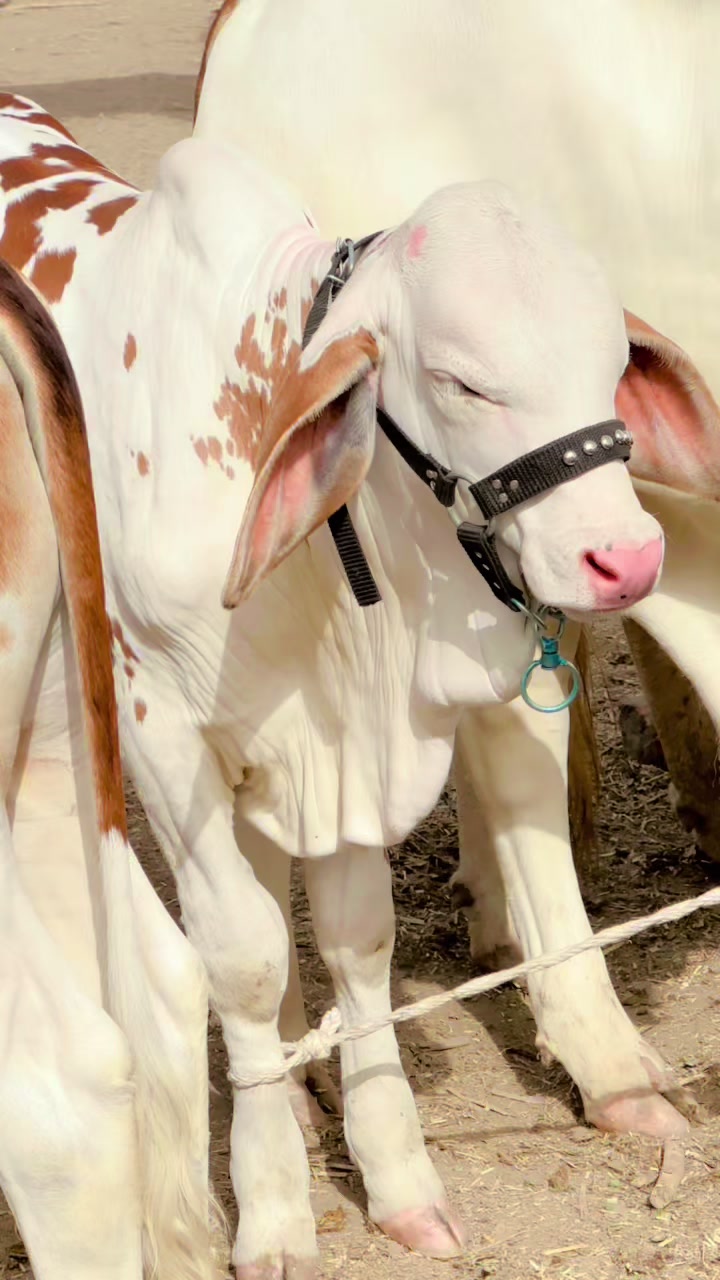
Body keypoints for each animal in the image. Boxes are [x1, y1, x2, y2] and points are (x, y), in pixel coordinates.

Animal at [0, 89, 692, 1274]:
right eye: (462, 380)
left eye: (612, 362)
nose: (625, 557)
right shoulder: (158, 731)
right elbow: (239, 957)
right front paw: (276, 1206)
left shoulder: (339, 757)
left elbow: (356, 937)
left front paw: (398, 1173)